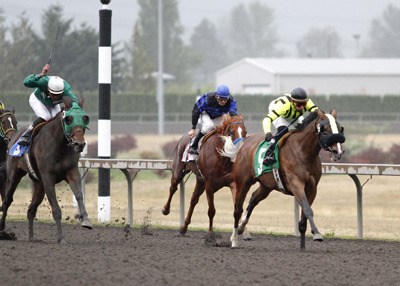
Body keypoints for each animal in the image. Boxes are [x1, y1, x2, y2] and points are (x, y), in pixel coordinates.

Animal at [0, 97, 92, 242]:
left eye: (85, 118)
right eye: (69, 119)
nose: (79, 144)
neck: (60, 145)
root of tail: (13, 138)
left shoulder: (72, 172)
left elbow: (79, 194)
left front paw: (85, 220)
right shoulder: (48, 177)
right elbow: (56, 208)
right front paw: (61, 238)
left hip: (39, 183)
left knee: (31, 210)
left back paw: (31, 237)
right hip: (14, 175)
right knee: (7, 200)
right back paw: (3, 229)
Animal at [230, 109, 346, 250]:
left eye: (340, 129)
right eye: (324, 130)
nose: (337, 152)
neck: (303, 152)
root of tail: (246, 141)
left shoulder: (312, 187)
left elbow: (305, 213)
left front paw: (303, 244)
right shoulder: (296, 184)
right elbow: (308, 209)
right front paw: (317, 233)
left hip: (266, 186)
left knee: (253, 199)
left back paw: (242, 227)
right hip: (243, 182)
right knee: (237, 210)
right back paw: (234, 239)